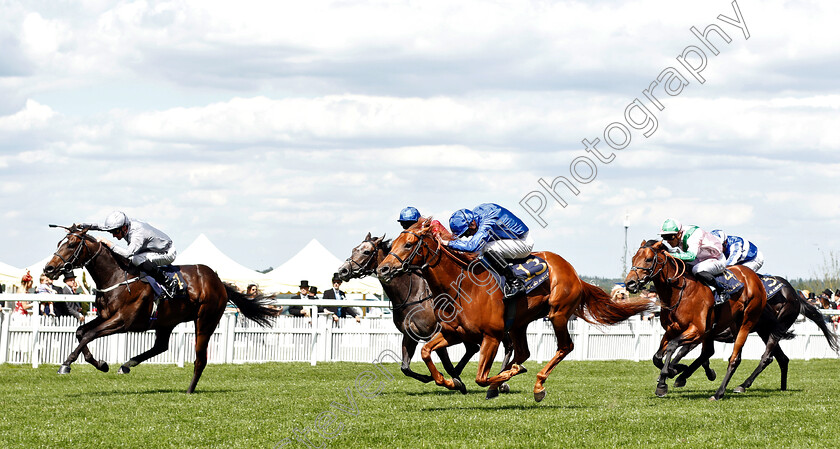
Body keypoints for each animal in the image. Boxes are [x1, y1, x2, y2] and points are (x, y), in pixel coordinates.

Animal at [43, 224, 278, 392]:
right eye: (59, 242)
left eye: (72, 244)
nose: (49, 268)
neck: (117, 276)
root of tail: (219, 282)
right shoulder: (105, 316)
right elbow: (80, 331)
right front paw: (100, 363)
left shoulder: (122, 321)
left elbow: (88, 335)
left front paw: (66, 364)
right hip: (166, 322)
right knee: (161, 346)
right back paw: (127, 364)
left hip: (205, 321)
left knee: (200, 359)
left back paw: (189, 390)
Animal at [338, 233, 516, 394]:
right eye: (354, 249)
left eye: (366, 252)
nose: (342, 271)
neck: (412, 295)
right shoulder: (410, 335)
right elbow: (405, 367)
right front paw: (436, 378)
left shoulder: (435, 332)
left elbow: (445, 363)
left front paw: (455, 382)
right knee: (478, 348)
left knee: (505, 346)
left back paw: (501, 381)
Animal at [376, 219, 648, 400]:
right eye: (392, 244)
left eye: (409, 244)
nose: (383, 269)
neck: (461, 288)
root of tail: (574, 273)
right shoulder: (453, 333)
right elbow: (426, 351)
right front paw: (448, 381)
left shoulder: (491, 336)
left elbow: (480, 377)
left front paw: (497, 378)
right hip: (519, 323)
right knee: (523, 352)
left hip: (558, 314)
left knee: (564, 347)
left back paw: (536, 385)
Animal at [620, 240, 772, 400]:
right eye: (633, 258)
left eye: (648, 259)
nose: (630, 283)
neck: (679, 293)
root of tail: (755, 278)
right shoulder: (671, 330)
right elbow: (657, 356)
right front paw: (673, 371)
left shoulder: (696, 330)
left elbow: (672, 346)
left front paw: (665, 380)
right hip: (723, 328)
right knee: (711, 352)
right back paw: (691, 376)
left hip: (746, 323)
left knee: (733, 359)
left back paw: (719, 393)